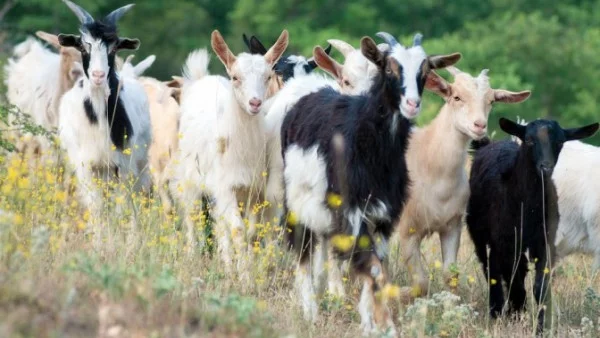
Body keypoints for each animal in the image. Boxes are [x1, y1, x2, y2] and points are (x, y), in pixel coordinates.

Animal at [280, 33, 460, 334]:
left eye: (424, 72)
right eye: (389, 68)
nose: (412, 104)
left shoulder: (385, 215)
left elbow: (378, 266)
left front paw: (370, 323)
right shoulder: (353, 212)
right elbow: (373, 268)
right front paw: (386, 326)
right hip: (297, 202)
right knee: (303, 251)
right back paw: (310, 312)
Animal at [468, 117, 600, 332]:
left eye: (560, 142)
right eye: (529, 141)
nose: (546, 167)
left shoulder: (544, 242)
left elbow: (540, 286)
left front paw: (541, 327)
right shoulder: (510, 243)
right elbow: (515, 281)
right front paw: (517, 316)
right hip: (483, 236)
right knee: (492, 270)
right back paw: (498, 312)